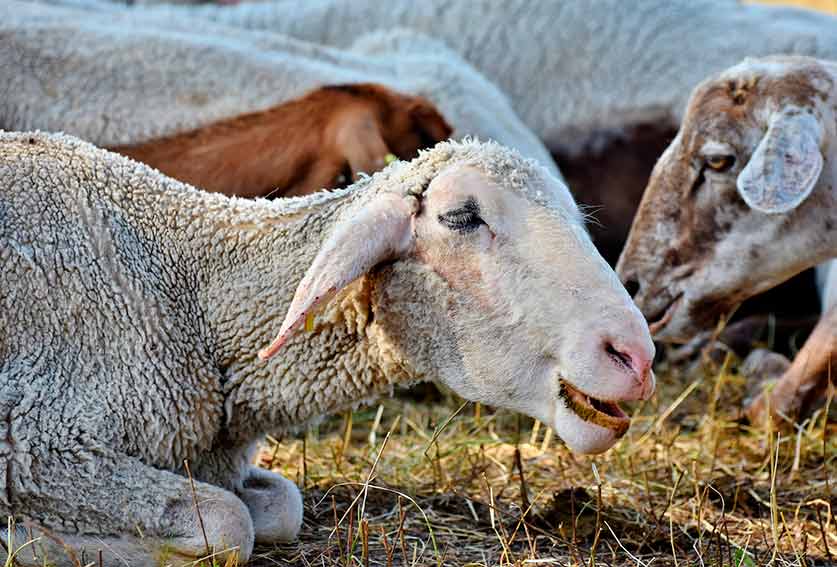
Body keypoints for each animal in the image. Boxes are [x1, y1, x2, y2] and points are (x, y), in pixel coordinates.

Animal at [0, 134, 652, 567]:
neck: (189, 288)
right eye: (462, 216)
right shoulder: (38, 440)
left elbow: (278, 508)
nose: (634, 357)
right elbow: (229, 525)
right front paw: (30, 539)